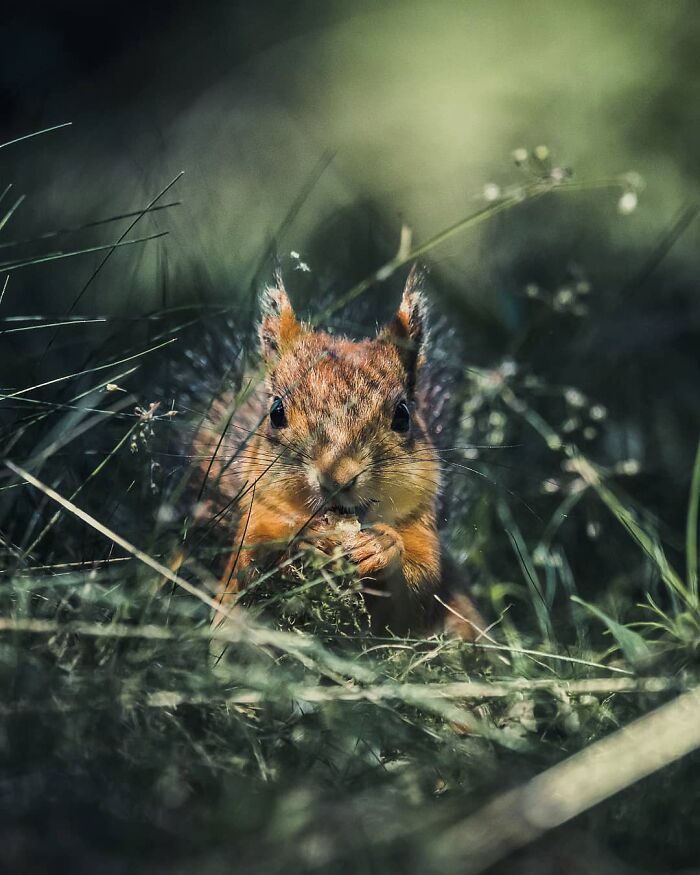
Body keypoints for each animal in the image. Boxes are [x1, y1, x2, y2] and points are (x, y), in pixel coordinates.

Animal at [193, 268, 483, 639]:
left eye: (403, 415)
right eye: (276, 412)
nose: (337, 479)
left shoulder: (422, 532)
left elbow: (416, 592)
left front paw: (382, 546)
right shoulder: (255, 520)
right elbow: (249, 566)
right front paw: (300, 541)